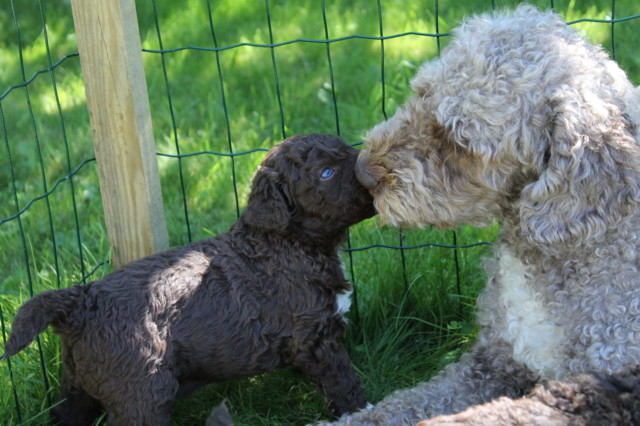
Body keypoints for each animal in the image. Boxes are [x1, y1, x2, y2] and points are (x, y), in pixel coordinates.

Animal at [2, 133, 376, 426]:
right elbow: (343, 382)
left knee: (67, 414)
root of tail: (83, 299)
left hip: (77, 383)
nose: (369, 167)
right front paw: (363, 409)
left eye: (346, 148)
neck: (288, 242)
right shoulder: (315, 338)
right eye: (326, 173)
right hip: (141, 389)